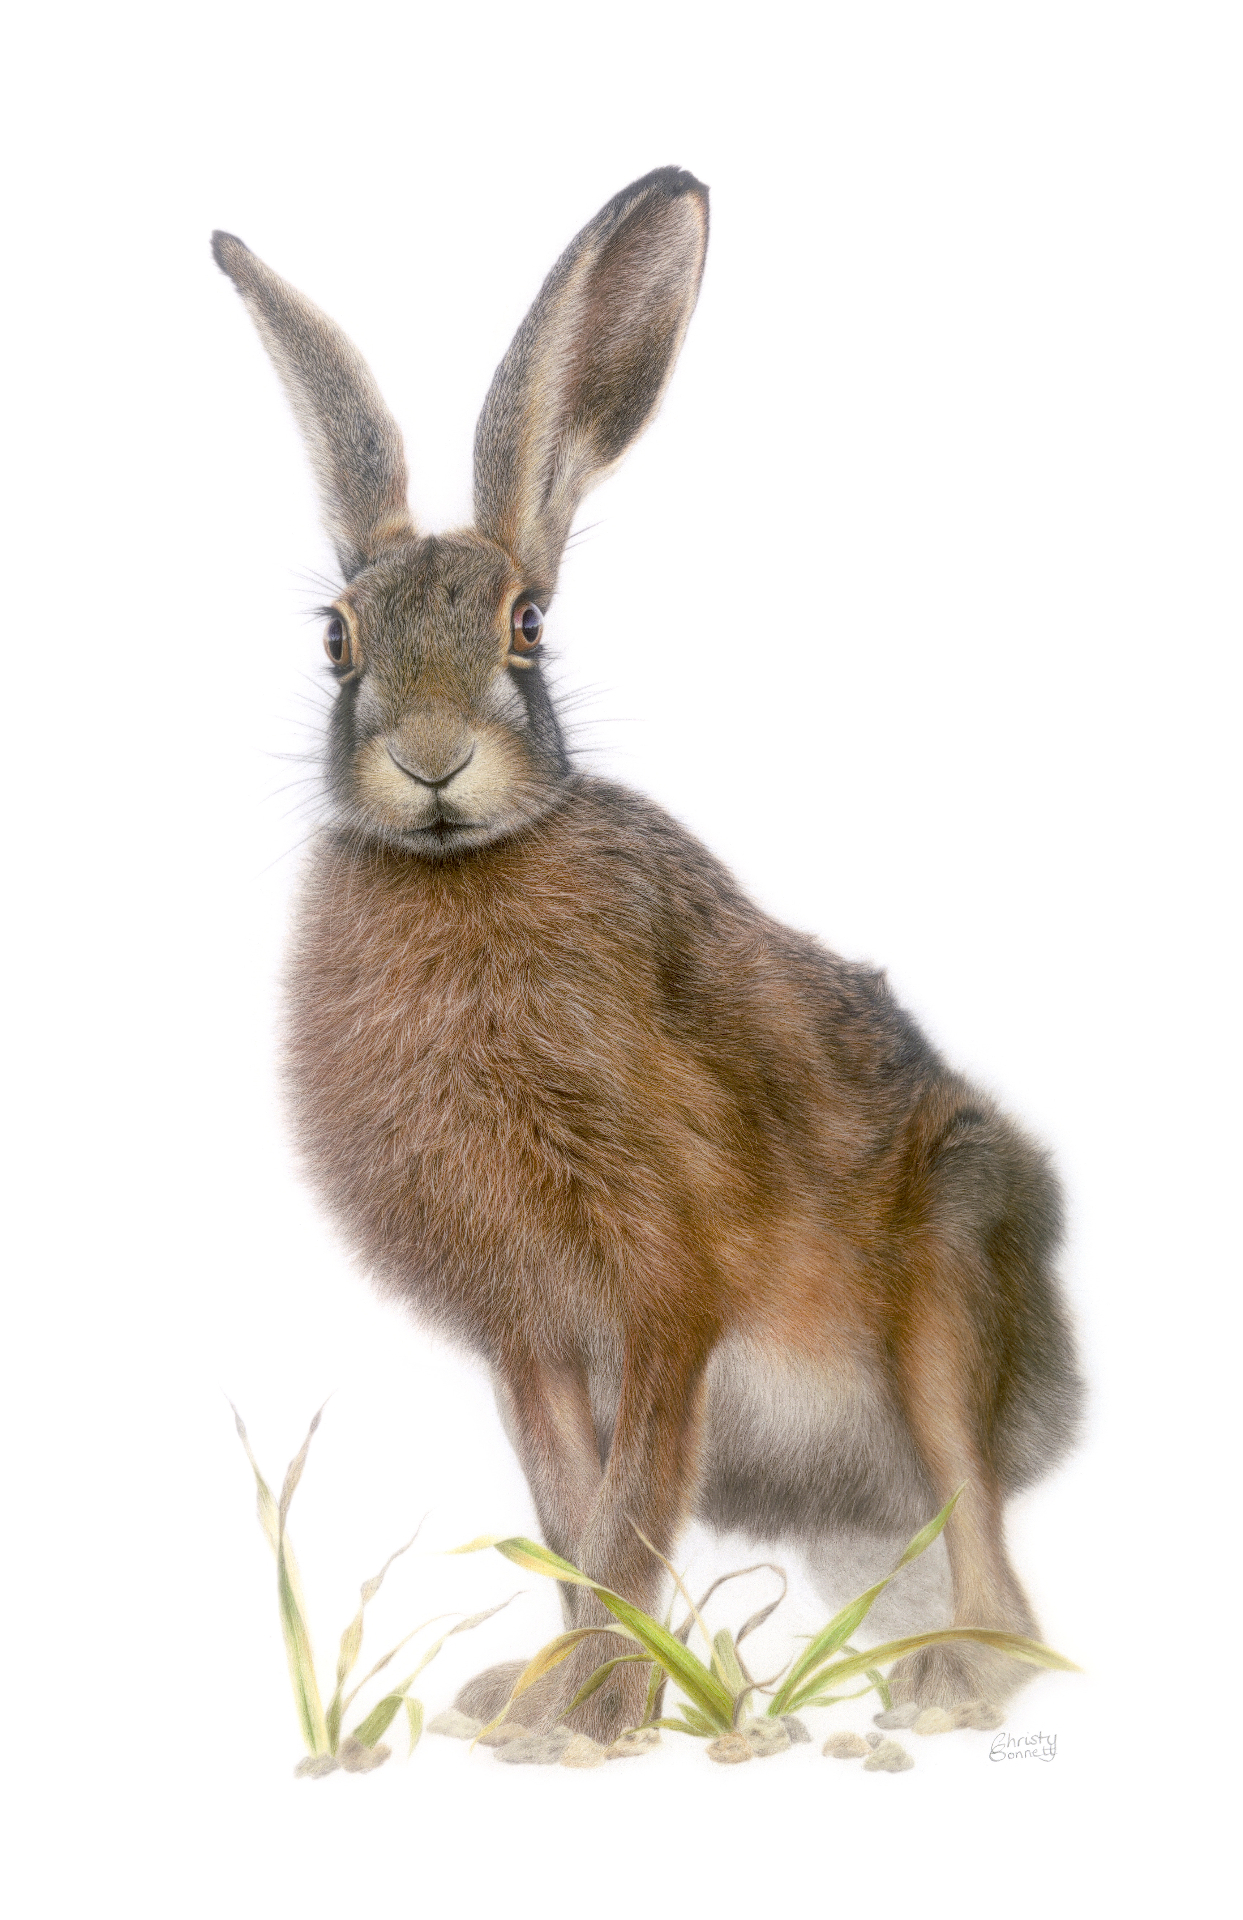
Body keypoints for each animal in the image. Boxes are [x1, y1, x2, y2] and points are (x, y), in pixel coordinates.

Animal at [213, 166, 1083, 1747]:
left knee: (982, 1523)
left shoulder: (667, 1280)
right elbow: (569, 1510)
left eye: (527, 628)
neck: (461, 875)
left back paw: (946, 1686)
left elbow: (627, 1508)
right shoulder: (533, 1332)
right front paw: (542, 1697)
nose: (430, 761)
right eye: (335, 640)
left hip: (950, 1277)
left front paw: (594, 1716)